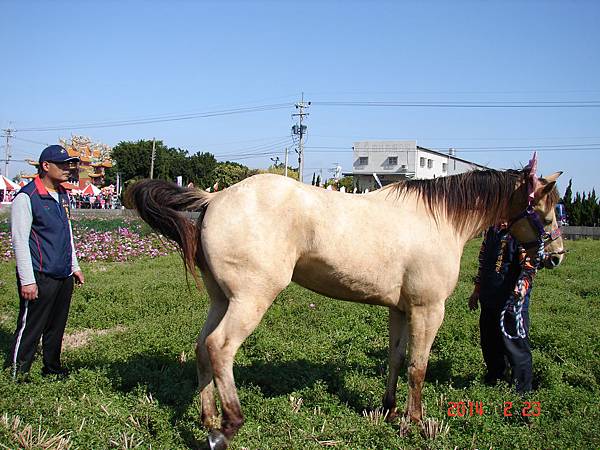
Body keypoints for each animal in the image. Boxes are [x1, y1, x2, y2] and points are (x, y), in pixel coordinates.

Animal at [129, 157, 564, 446]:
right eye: (548, 212)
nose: (556, 256)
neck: (438, 219)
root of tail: (211, 200)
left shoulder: (399, 309)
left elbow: (395, 359)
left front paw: (389, 410)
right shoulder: (428, 310)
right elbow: (418, 369)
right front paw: (415, 423)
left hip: (221, 299)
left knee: (202, 348)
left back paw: (208, 421)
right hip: (250, 299)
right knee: (221, 348)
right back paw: (229, 425)